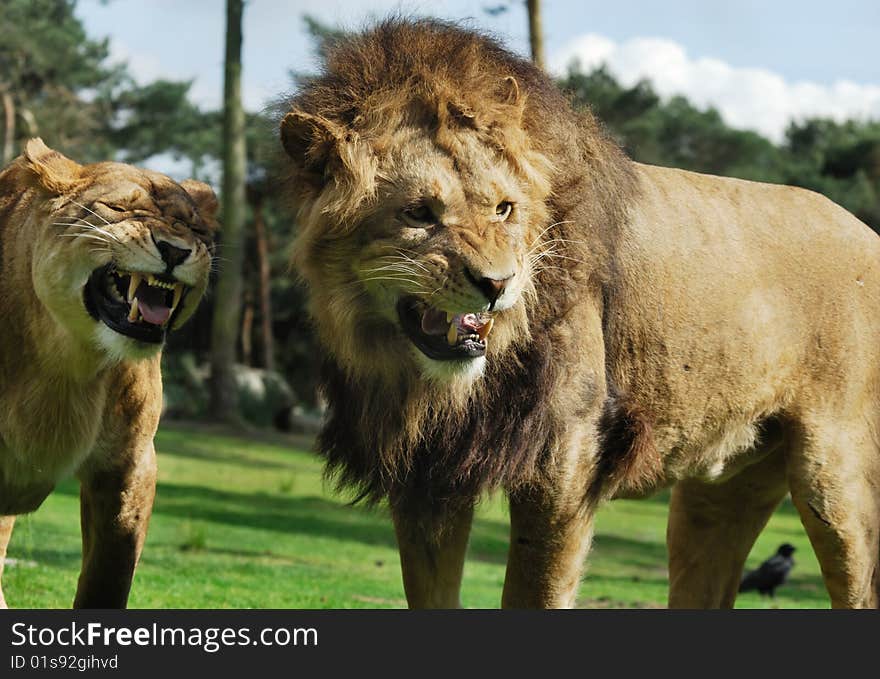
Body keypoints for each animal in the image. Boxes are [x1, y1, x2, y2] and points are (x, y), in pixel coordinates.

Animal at [0, 138, 217, 604]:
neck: (65, 359)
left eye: (193, 228)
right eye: (117, 209)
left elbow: (110, 575)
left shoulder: (129, 464)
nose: (175, 250)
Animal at [280, 19, 880, 612]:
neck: (434, 388)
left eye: (504, 208)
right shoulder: (427, 475)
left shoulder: (566, 458)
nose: (499, 284)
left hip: (838, 480)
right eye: (419, 213)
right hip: (717, 492)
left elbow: (535, 592)